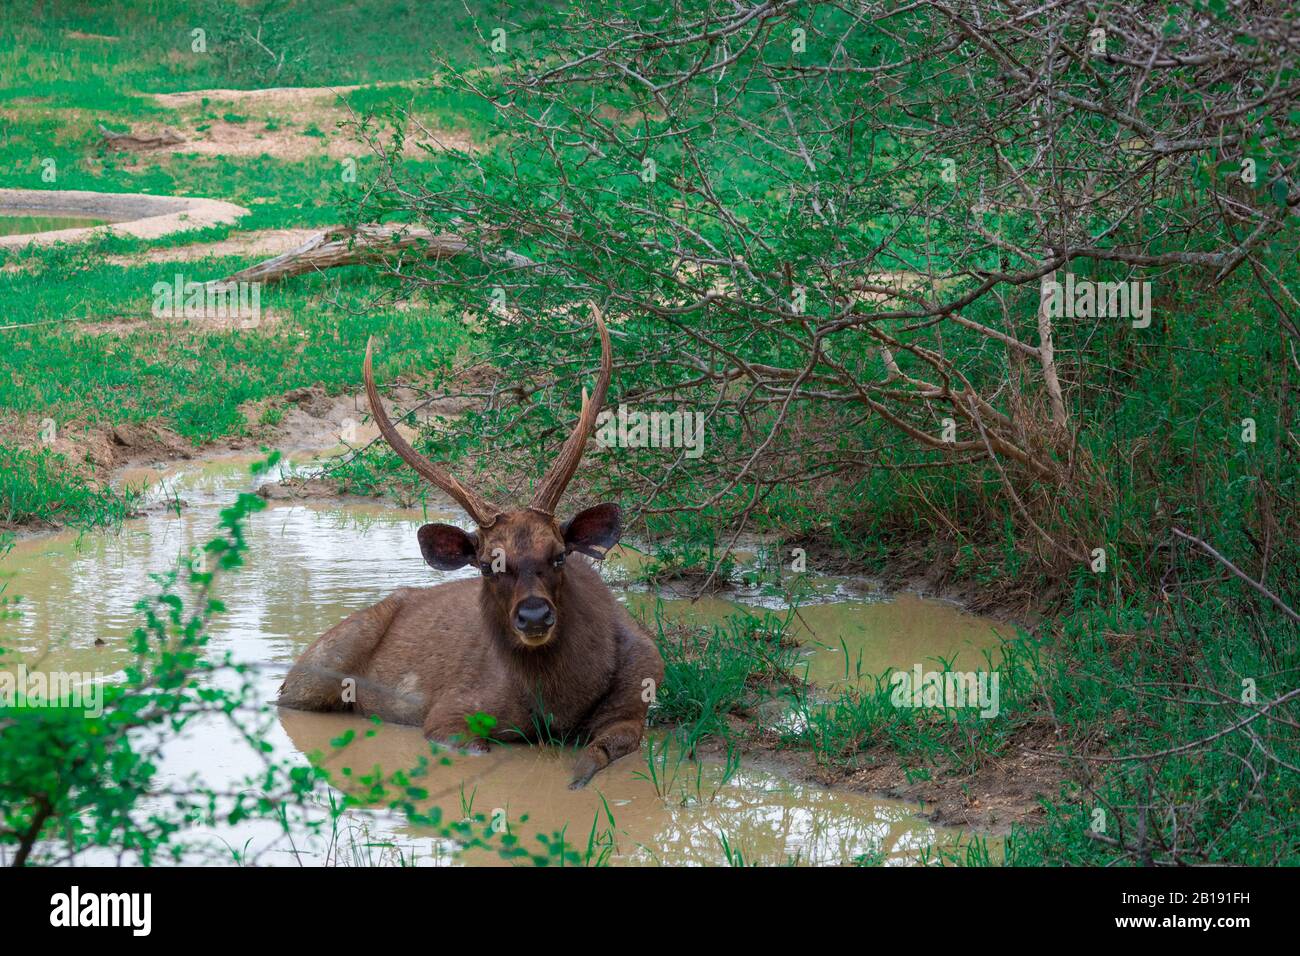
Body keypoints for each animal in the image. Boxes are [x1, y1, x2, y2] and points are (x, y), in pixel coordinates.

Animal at [277, 305, 664, 788]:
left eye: (560, 555)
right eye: (485, 565)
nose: (534, 616)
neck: (559, 704)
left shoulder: (637, 702)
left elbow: (598, 752)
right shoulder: (449, 712)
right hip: (310, 676)